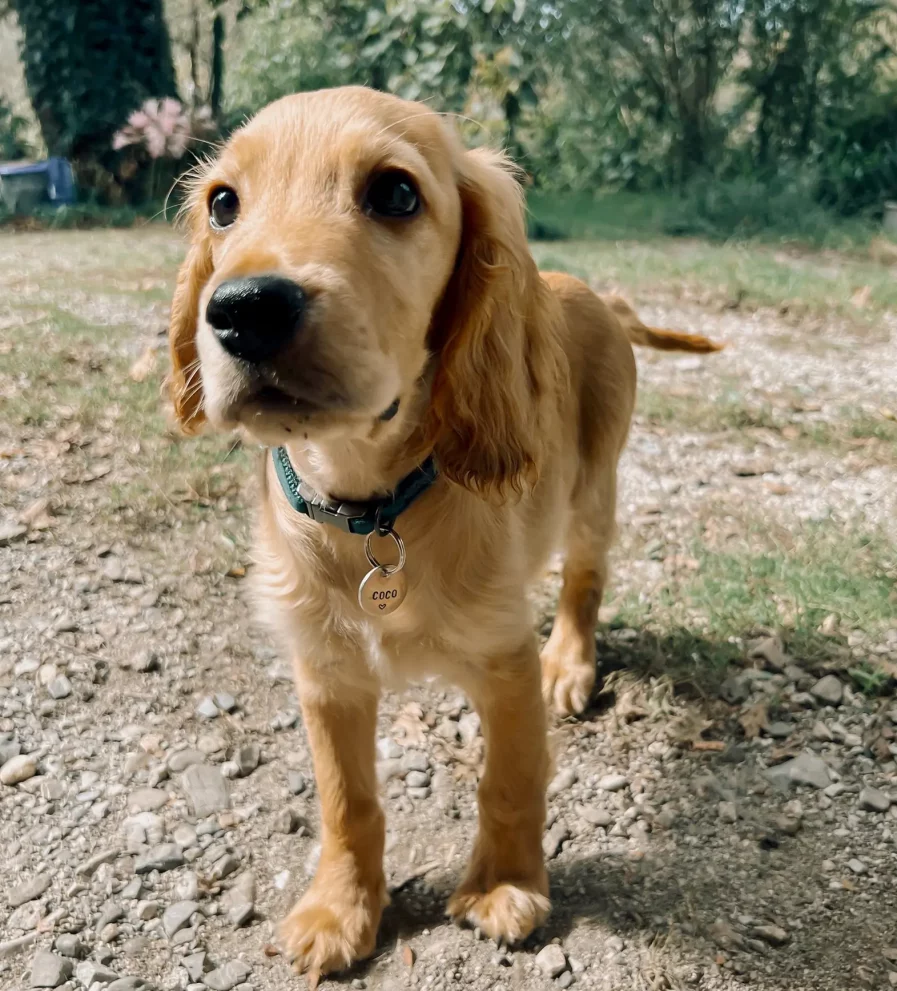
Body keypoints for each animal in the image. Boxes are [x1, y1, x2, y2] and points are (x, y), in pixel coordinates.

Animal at [168, 85, 720, 984]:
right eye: (223, 203)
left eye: (395, 193)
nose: (244, 310)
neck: (370, 506)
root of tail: (591, 292)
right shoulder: (325, 672)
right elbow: (346, 800)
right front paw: (339, 908)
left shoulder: (503, 659)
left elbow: (511, 779)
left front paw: (503, 885)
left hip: (592, 492)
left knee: (584, 578)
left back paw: (572, 663)